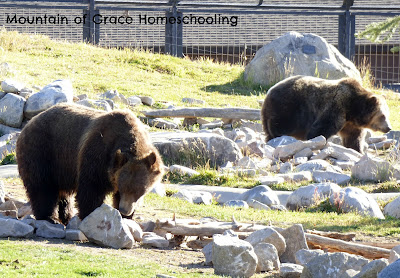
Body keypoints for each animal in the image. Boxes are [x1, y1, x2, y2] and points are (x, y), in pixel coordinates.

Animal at [16, 103, 164, 225]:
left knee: (63, 193)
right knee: (42, 186)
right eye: (124, 188)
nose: (124, 210)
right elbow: (91, 188)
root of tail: (28, 125)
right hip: (42, 151)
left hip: (62, 168)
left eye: (140, 190)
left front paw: (127, 218)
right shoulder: (98, 154)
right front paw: (92, 215)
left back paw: (66, 216)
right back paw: (50, 217)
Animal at [260, 75, 392, 153]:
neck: (352, 109)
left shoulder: (351, 124)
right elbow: (320, 129)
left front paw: (357, 150)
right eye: (382, 116)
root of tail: (269, 92)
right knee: (281, 126)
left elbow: (353, 138)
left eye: (387, 114)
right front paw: (315, 143)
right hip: (287, 108)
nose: (389, 127)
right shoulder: (336, 108)